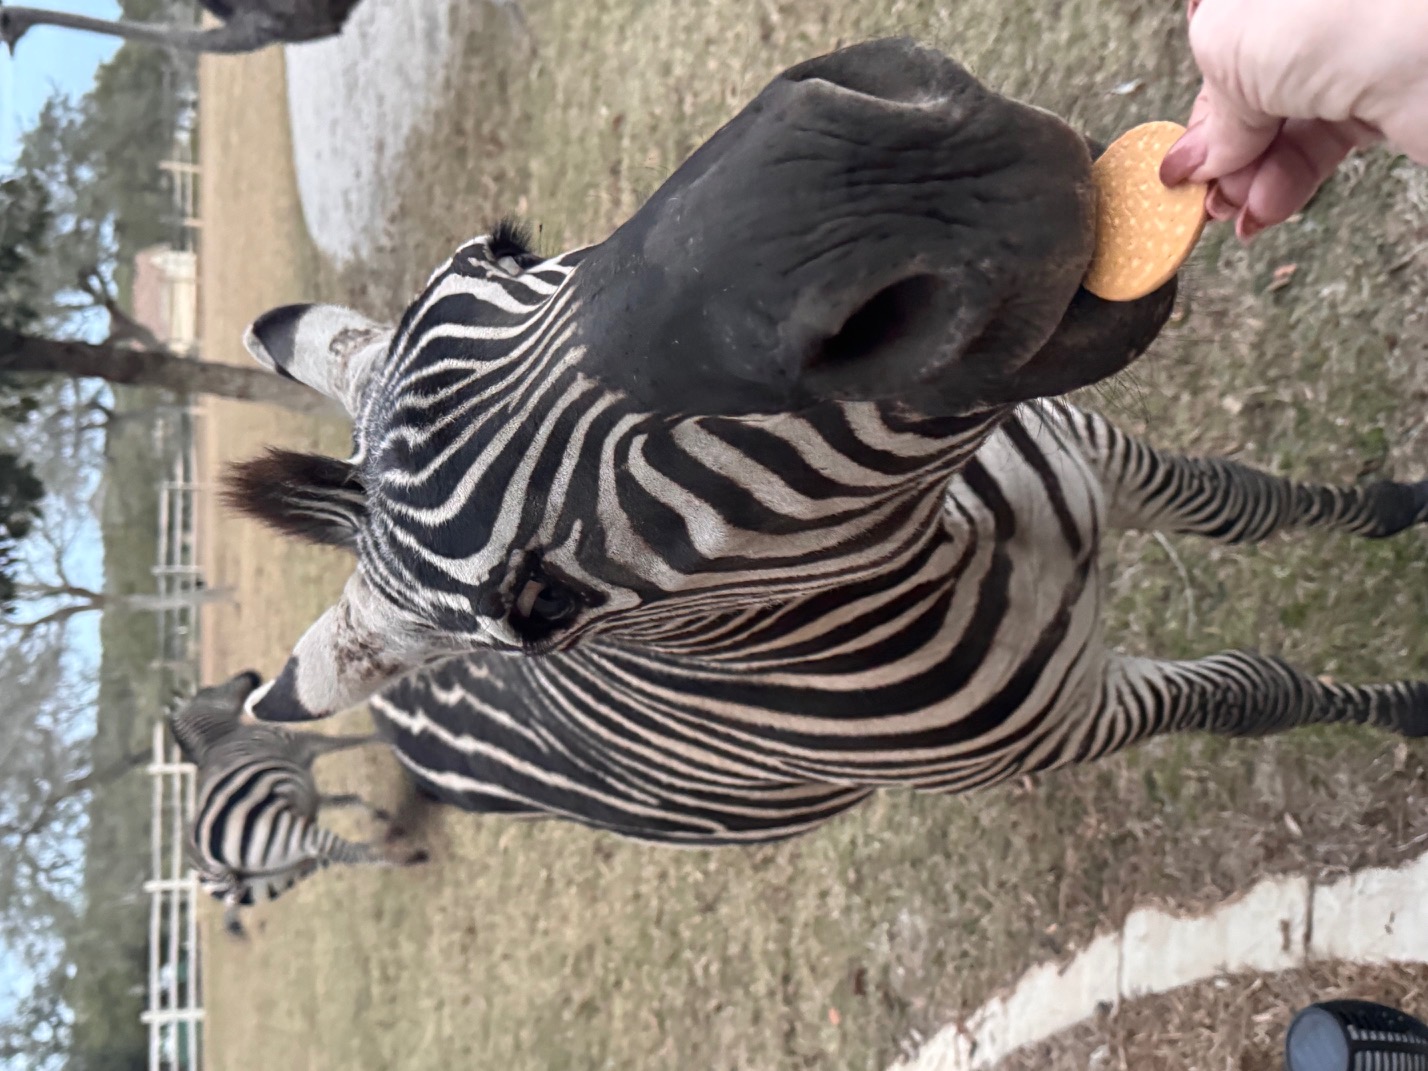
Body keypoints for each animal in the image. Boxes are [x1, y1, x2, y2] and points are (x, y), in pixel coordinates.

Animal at [168, 669, 427, 935]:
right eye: (207, 690)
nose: (251, 674)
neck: (221, 737)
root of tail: (202, 864)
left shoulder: (309, 791)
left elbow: (347, 800)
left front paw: (381, 815)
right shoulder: (301, 741)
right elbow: (350, 741)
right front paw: (389, 735)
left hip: (277, 876)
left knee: (336, 856)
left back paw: (391, 838)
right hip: (290, 835)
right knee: (344, 853)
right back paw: (410, 858)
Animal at [221, 37, 1428, 845]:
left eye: (507, 246)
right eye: (542, 607)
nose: (867, 194)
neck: (955, 538)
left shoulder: (1091, 446)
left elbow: (1244, 502)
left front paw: (1396, 509)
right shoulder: (1075, 721)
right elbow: (1256, 693)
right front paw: (1408, 713)